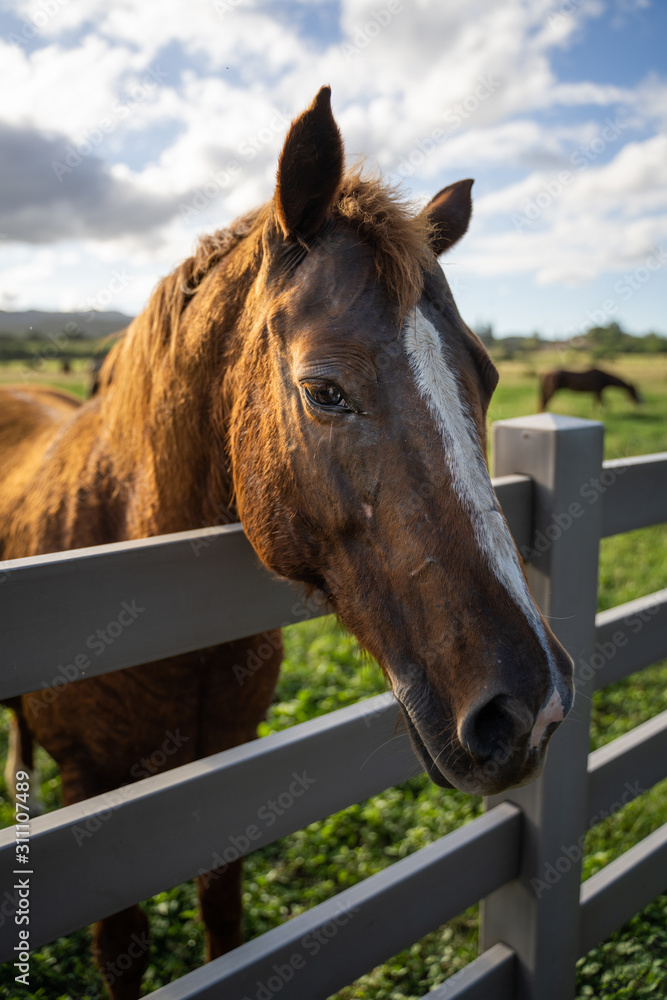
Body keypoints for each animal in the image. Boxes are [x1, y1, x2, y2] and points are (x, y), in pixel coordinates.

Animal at [0, 87, 574, 999]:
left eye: (484, 378)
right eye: (324, 391)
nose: (531, 707)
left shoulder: (227, 771)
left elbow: (222, 913)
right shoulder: (93, 793)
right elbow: (121, 949)